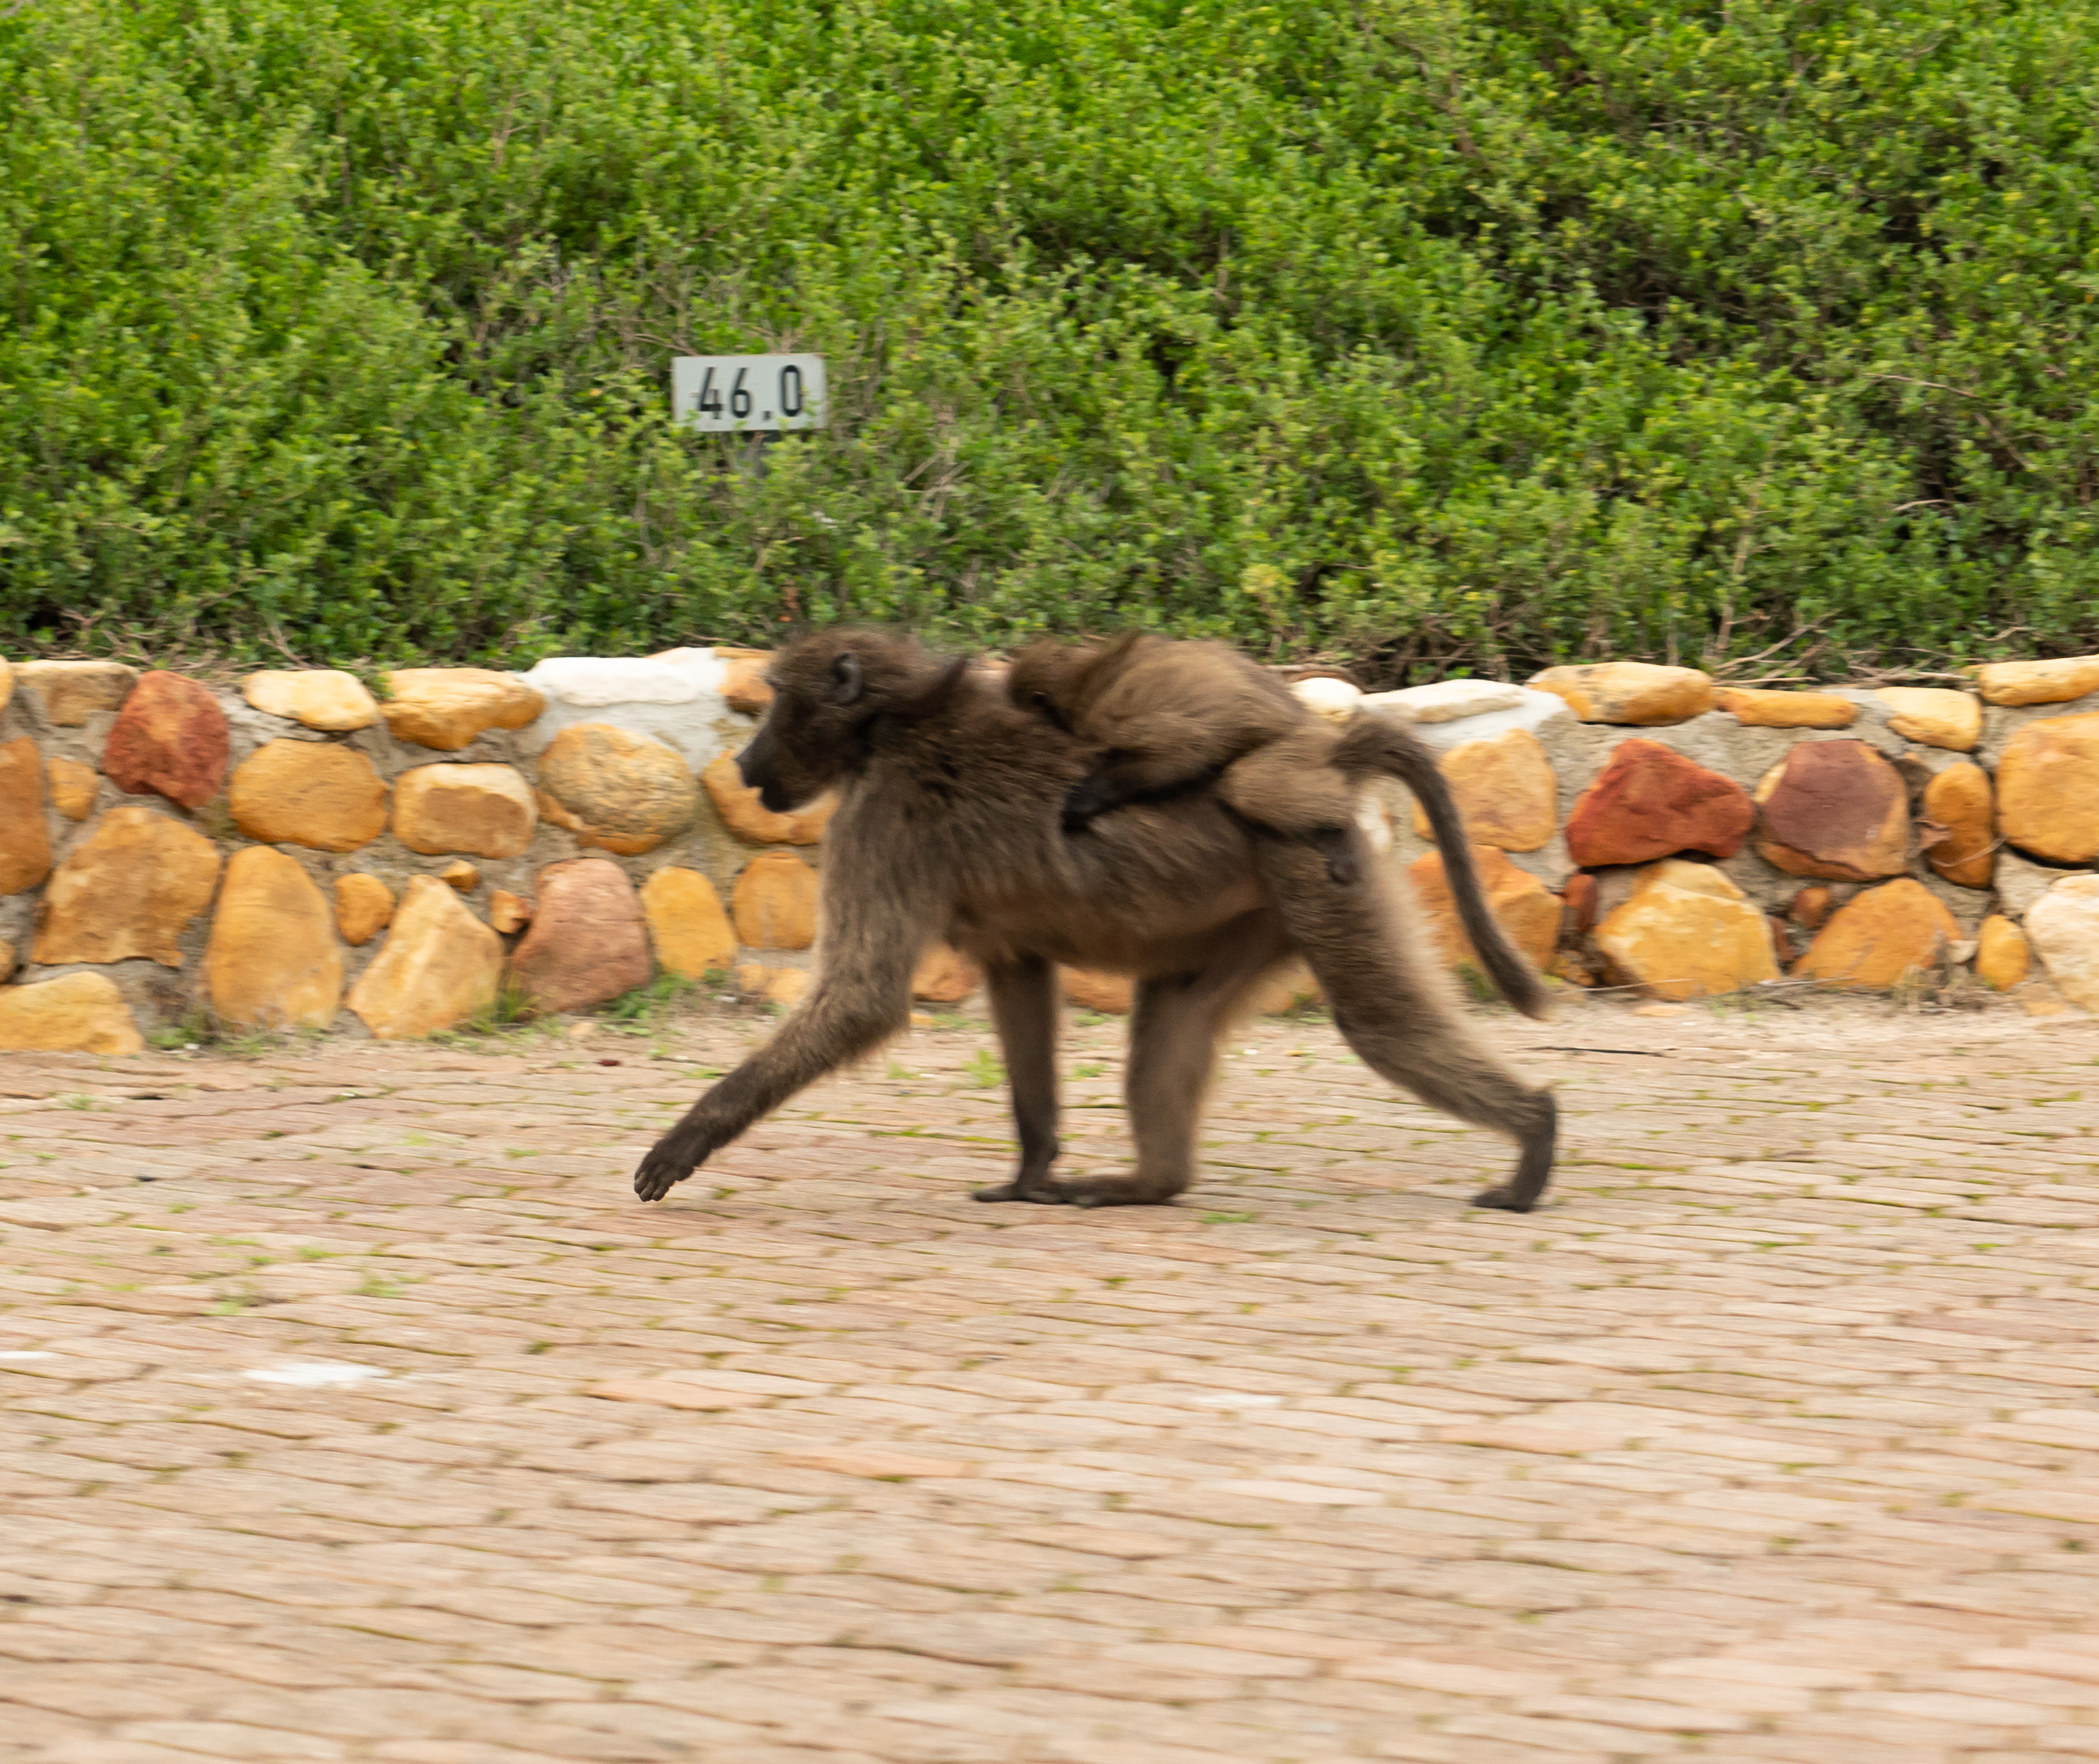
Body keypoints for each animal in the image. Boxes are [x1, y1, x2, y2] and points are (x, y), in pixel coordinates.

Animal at [1006, 631, 1365, 884]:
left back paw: (1339, 830)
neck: (1084, 681)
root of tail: (1306, 716)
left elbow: (1181, 753)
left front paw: (1080, 803)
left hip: (1302, 743)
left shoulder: (1110, 717)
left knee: (1248, 787)